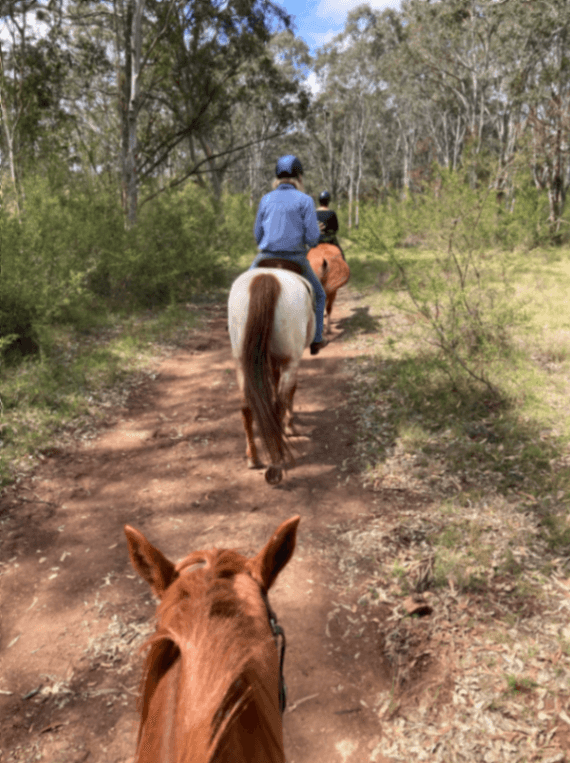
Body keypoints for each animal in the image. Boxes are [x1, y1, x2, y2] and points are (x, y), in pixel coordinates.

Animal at [227, 262, 315, 485]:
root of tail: (267, 278)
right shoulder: (290, 362)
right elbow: (290, 392)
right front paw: (290, 427)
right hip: (290, 360)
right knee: (278, 404)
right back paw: (276, 462)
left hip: (241, 361)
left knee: (246, 406)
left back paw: (254, 457)